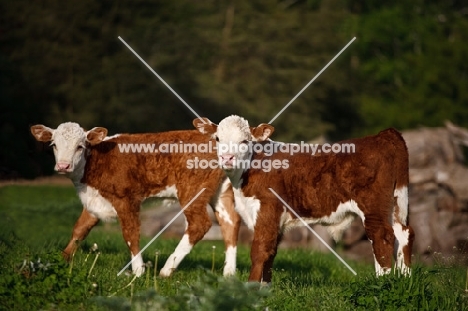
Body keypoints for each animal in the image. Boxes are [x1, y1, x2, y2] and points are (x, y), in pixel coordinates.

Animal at [30, 122, 241, 278]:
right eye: (54, 145)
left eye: (80, 146)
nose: (63, 166)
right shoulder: (95, 201)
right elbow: (80, 229)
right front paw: (61, 259)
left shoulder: (126, 199)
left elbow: (130, 234)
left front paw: (138, 271)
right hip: (222, 192)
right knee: (230, 222)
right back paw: (228, 274)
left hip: (191, 191)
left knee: (199, 224)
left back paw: (166, 270)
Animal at [196, 116, 414, 284]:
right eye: (217, 138)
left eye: (245, 141)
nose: (227, 158)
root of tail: (383, 136)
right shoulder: (276, 220)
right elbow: (271, 252)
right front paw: (265, 287)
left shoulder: (267, 209)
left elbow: (259, 251)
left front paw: (251, 288)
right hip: (396, 204)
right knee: (403, 234)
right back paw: (403, 279)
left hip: (373, 208)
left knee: (382, 237)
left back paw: (383, 283)